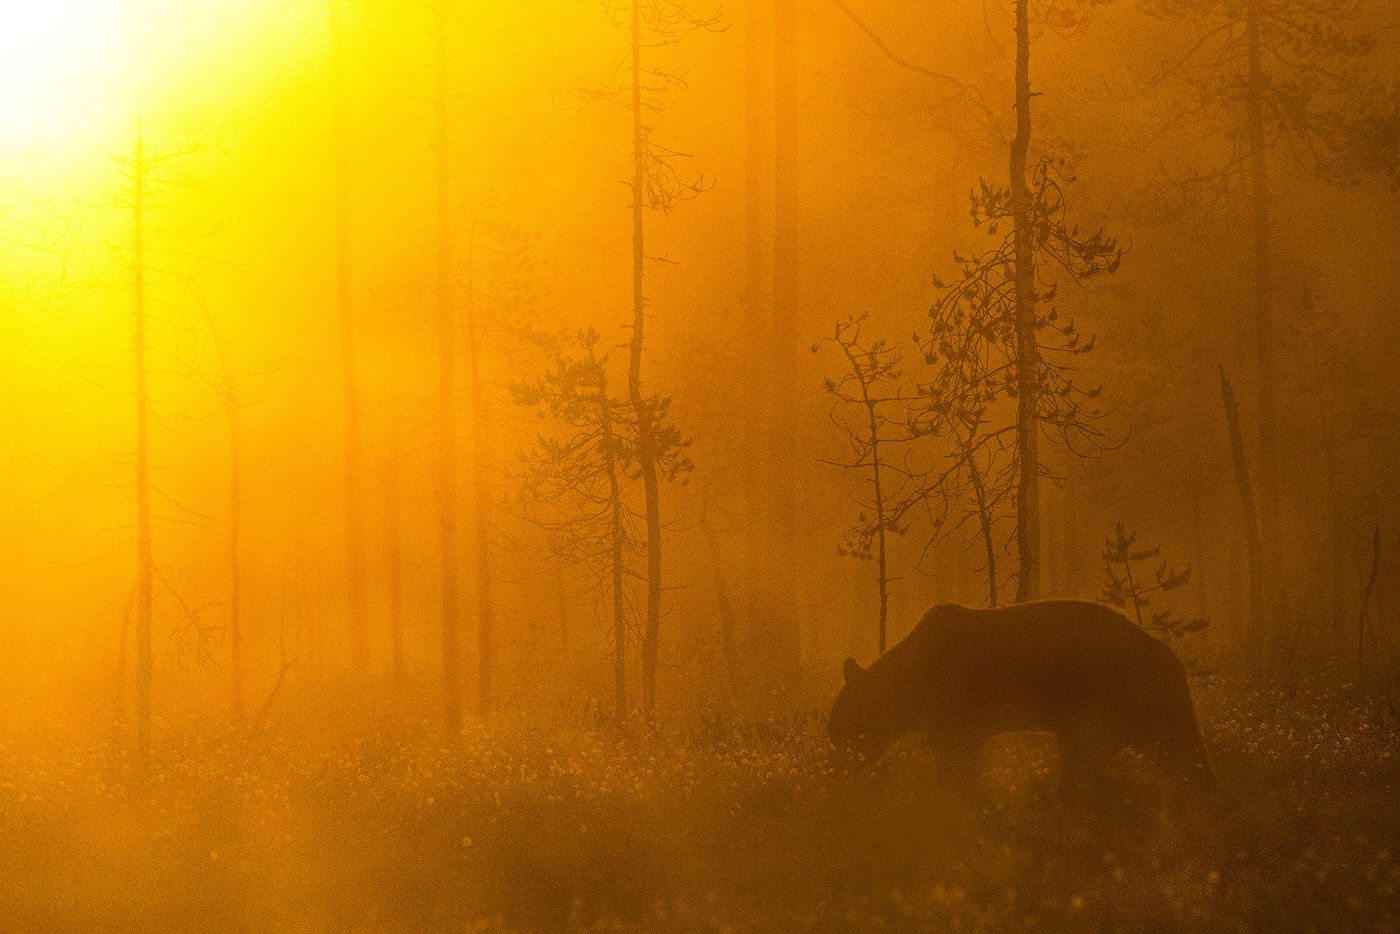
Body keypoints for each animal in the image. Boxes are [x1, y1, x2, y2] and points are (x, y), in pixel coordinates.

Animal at [828, 599, 1215, 795]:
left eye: (840, 730)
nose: (835, 771)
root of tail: (1173, 657)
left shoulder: (955, 704)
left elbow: (954, 760)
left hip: (1116, 696)